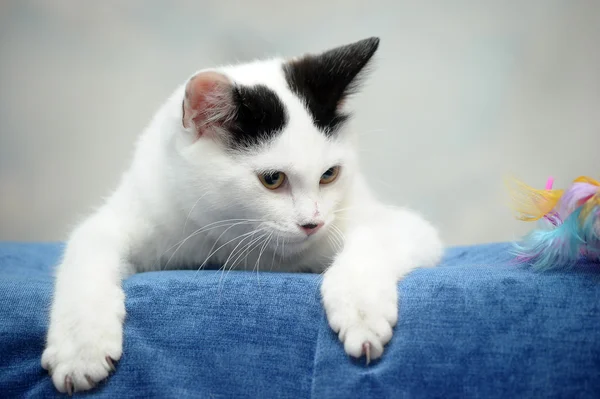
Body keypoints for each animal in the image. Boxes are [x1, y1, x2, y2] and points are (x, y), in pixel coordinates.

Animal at [41, 37, 440, 394]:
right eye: (272, 179)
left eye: (329, 174)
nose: (312, 223)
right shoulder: (139, 209)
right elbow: (87, 248)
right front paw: (80, 347)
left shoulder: (400, 225)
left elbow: (373, 238)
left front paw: (362, 311)